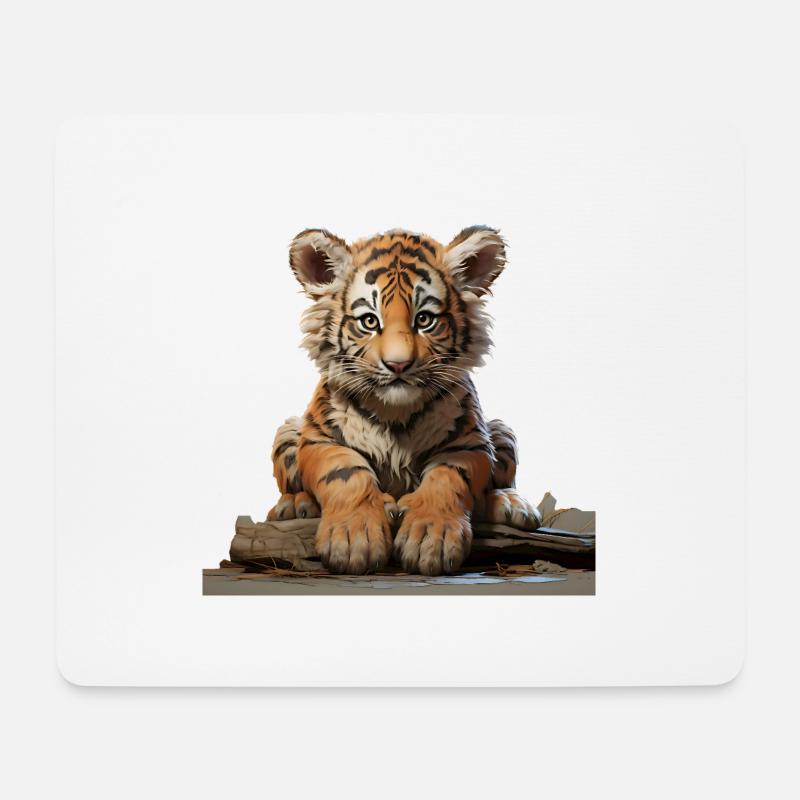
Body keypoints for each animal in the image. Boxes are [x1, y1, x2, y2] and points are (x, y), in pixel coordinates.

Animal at [266, 226, 541, 576]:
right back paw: (296, 505)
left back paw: (509, 502)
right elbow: (345, 473)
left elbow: (449, 477)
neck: (394, 412)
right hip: (287, 431)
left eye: (424, 320)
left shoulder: (469, 442)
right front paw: (353, 539)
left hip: (502, 432)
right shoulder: (320, 438)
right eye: (369, 321)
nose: (398, 365)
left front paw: (431, 538)